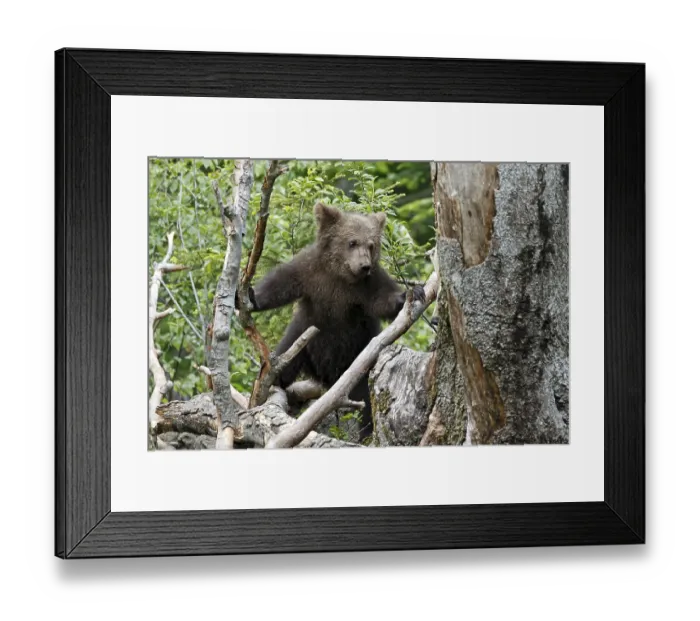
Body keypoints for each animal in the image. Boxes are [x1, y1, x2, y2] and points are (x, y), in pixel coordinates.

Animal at [241, 202, 424, 443]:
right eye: (352, 242)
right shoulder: (310, 274)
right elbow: (281, 284)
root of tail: (327, 376)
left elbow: (384, 299)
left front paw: (411, 293)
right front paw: (251, 296)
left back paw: (366, 433)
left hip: (359, 358)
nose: (364, 265)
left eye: (371, 244)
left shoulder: (367, 287)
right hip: (302, 342)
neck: (341, 276)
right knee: (284, 363)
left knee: (366, 398)